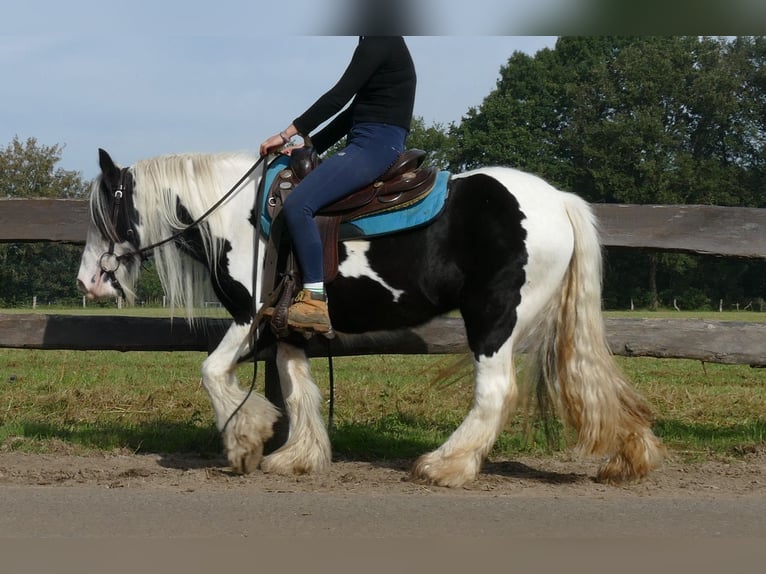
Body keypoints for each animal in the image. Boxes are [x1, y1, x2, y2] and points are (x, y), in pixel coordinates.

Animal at [78, 150, 664, 490]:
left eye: (105, 212)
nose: (88, 283)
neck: (240, 218)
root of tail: (556, 200)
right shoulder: (288, 327)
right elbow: (299, 389)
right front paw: (298, 456)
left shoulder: (250, 318)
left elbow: (213, 372)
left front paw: (246, 439)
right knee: (590, 383)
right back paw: (628, 455)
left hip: (493, 318)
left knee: (496, 391)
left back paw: (445, 465)